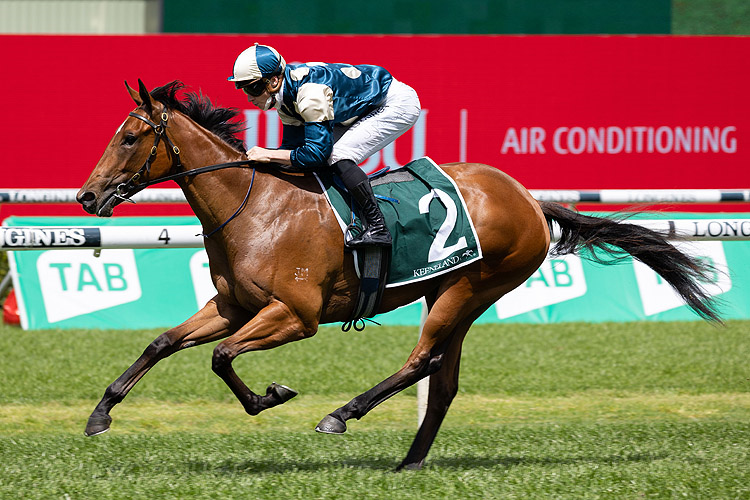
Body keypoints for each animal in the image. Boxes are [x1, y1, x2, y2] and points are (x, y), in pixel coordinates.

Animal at [76, 80, 724, 470]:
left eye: (129, 137)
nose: (86, 196)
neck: (255, 204)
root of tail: (530, 200)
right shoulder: (233, 306)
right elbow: (163, 342)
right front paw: (101, 413)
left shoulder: (295, 315)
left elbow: (222, 357)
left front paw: (270, 396)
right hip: (453, 292)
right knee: (443, 377)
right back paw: (410, 459)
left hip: (468, 288)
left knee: (422, 361)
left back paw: (342, 415)